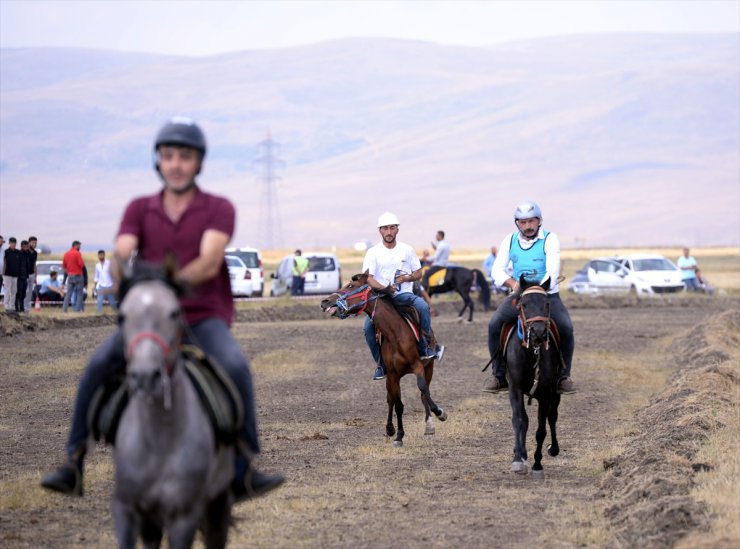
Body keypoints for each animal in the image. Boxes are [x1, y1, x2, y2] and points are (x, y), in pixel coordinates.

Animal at [320, 272, 448, 448]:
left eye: (351, 286)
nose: (325, 301)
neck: (396, 333)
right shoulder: (393, 375)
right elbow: (398, 405)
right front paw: (398, 436)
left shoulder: (418, 366)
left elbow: (422, 389)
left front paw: (439, 413)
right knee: (391, 400)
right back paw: (389, 429)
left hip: (429, 367)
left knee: (424, 393)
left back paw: (429, 425)